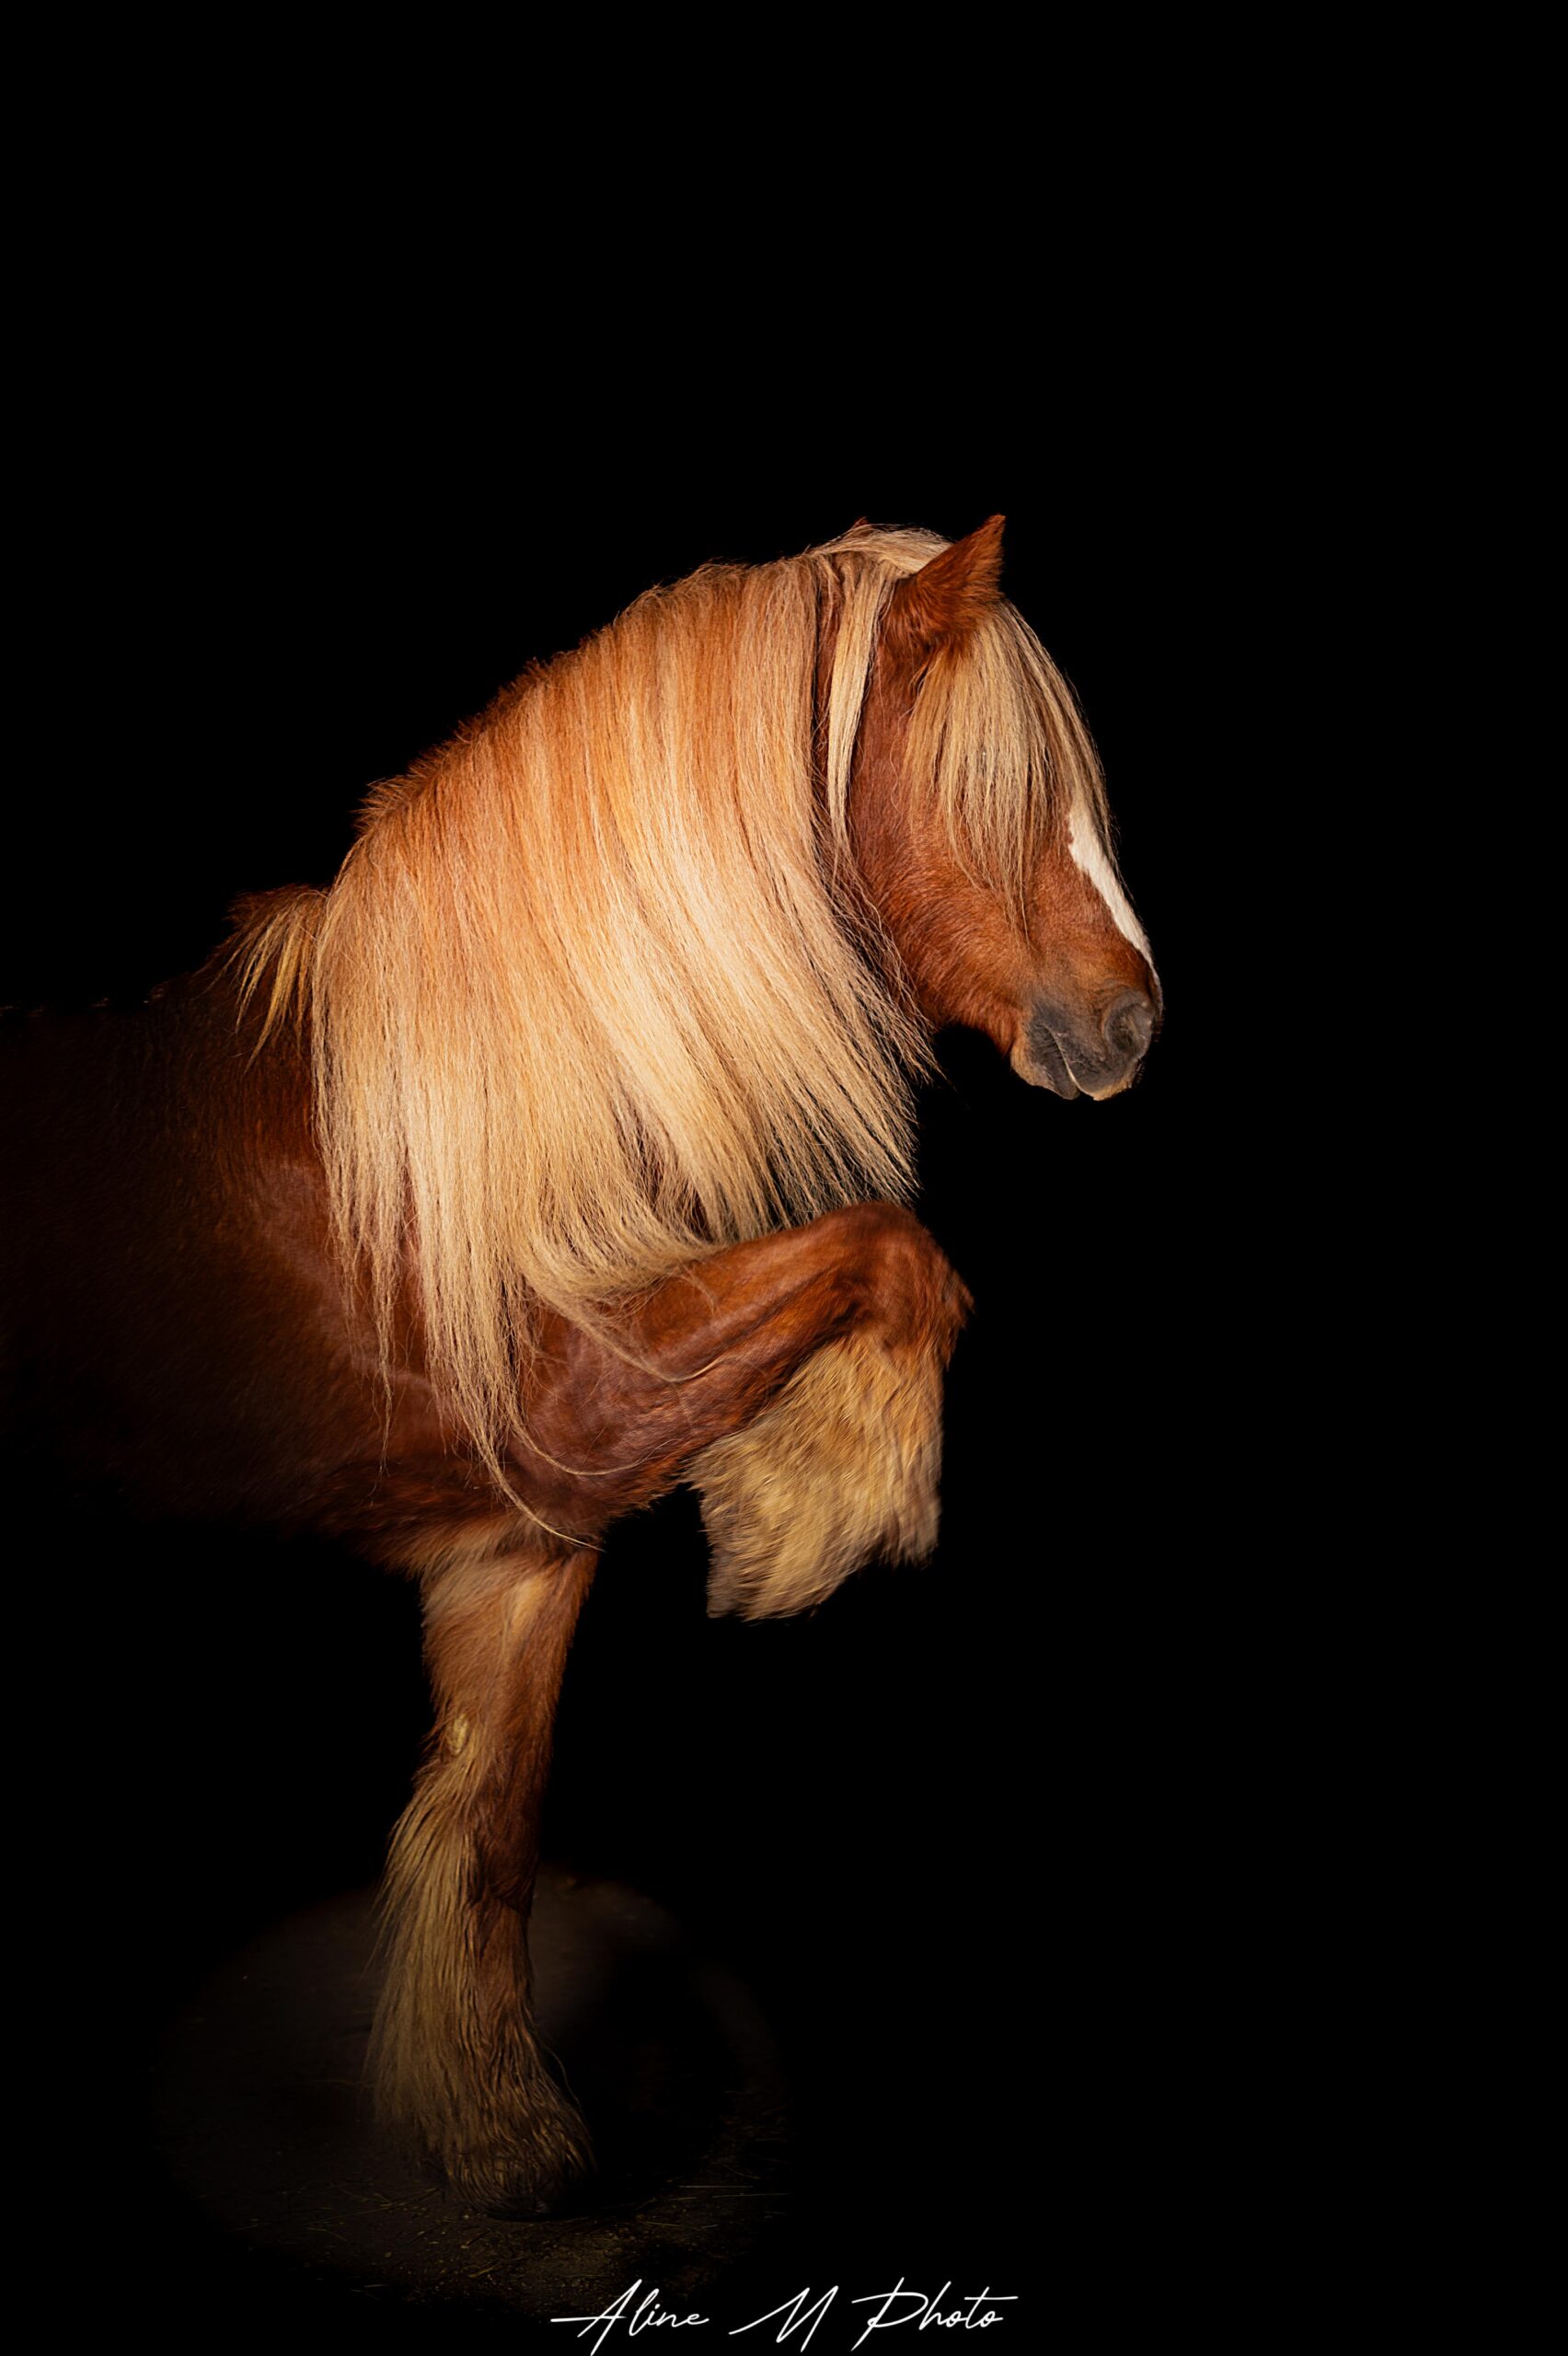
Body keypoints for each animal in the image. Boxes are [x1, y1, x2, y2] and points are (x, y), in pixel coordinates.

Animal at [2, 515, 1159, 2218]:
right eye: (995, 785)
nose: (1132, 1021)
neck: (433, 1131)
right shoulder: (571, 1404)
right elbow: (889, 1253)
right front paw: (802, 1522)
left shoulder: (518, 1548)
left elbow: (489, 1831)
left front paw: (501, 2134)